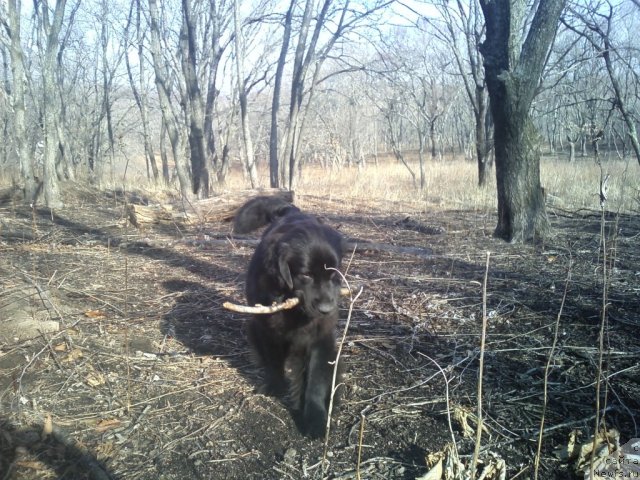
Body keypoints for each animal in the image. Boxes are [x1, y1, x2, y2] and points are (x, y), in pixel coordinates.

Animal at [235, 196, 344, 438]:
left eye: (333, 275)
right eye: (305, 275)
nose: (327, 309)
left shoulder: (320, 335)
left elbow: (315, 379)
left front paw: (315, 417)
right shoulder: (267, 328)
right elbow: (273, 361)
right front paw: (275, 386)